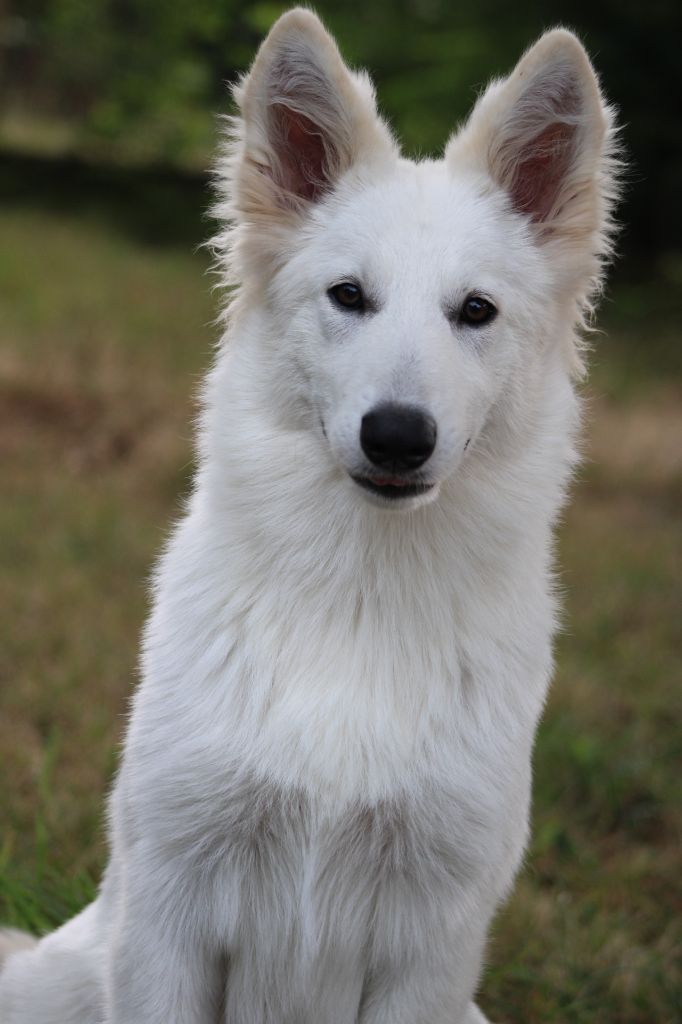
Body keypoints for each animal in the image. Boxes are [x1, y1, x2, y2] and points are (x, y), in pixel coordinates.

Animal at [0, 9, 614, 1024]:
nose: (398, 437)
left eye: (475, 311)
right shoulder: (169, 912)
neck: (356, 600)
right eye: (348, 296)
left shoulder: (428, 949)